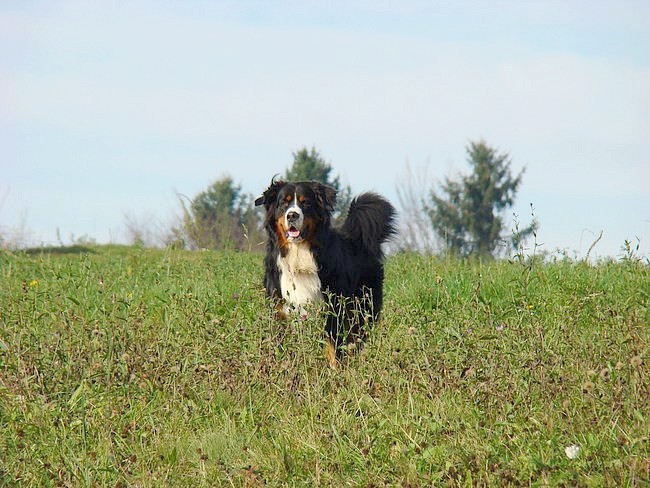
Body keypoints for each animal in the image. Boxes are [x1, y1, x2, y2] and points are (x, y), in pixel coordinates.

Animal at [253, 179, 394, 366]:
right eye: (284, 203)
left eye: (305, 203)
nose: (292, 215)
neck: (299, 255)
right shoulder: (279, 309)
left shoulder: (333, 309)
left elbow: (331, 346)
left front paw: (333, 369)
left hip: (362, 307)